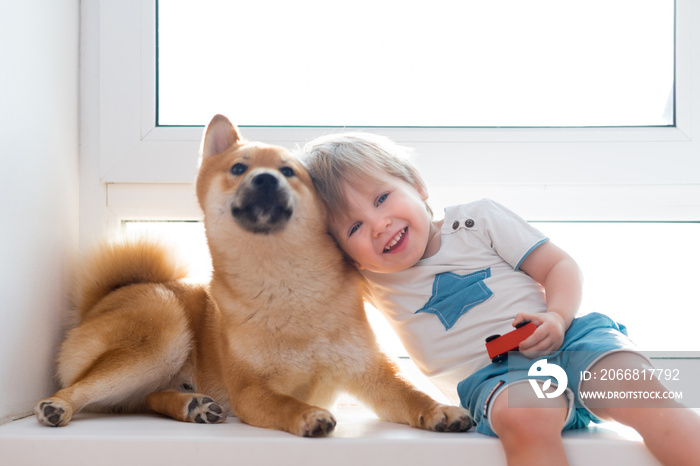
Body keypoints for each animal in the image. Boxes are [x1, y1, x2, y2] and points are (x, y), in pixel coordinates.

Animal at [32, 114, 470, 436]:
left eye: (288, 172)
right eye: (239, 168)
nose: (264, 178)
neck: (287, 287)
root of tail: (102, 298)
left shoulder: (370, 371)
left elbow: (411, 395)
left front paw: (441, 410)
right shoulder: (251, 389)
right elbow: (285, 402)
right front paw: (307, 415)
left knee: (149, 398)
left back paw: (191, 405)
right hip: (162, 328)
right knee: (81, 385)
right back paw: (58, 405)